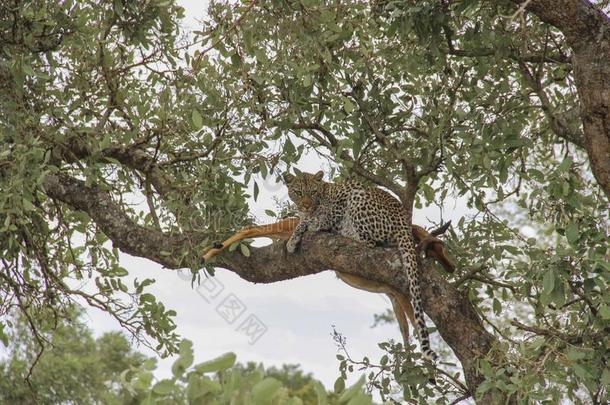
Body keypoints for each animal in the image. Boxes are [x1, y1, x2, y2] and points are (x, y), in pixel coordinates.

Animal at [282, 169, 434, 358]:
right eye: (298, 192)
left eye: (313, 192)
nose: (306, 205)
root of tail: (404, 224)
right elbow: (304, 220)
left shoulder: (335, 207)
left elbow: (313, 220)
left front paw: (297, 235)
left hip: (358, 199)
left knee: (369, 242)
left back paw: (342, 232)